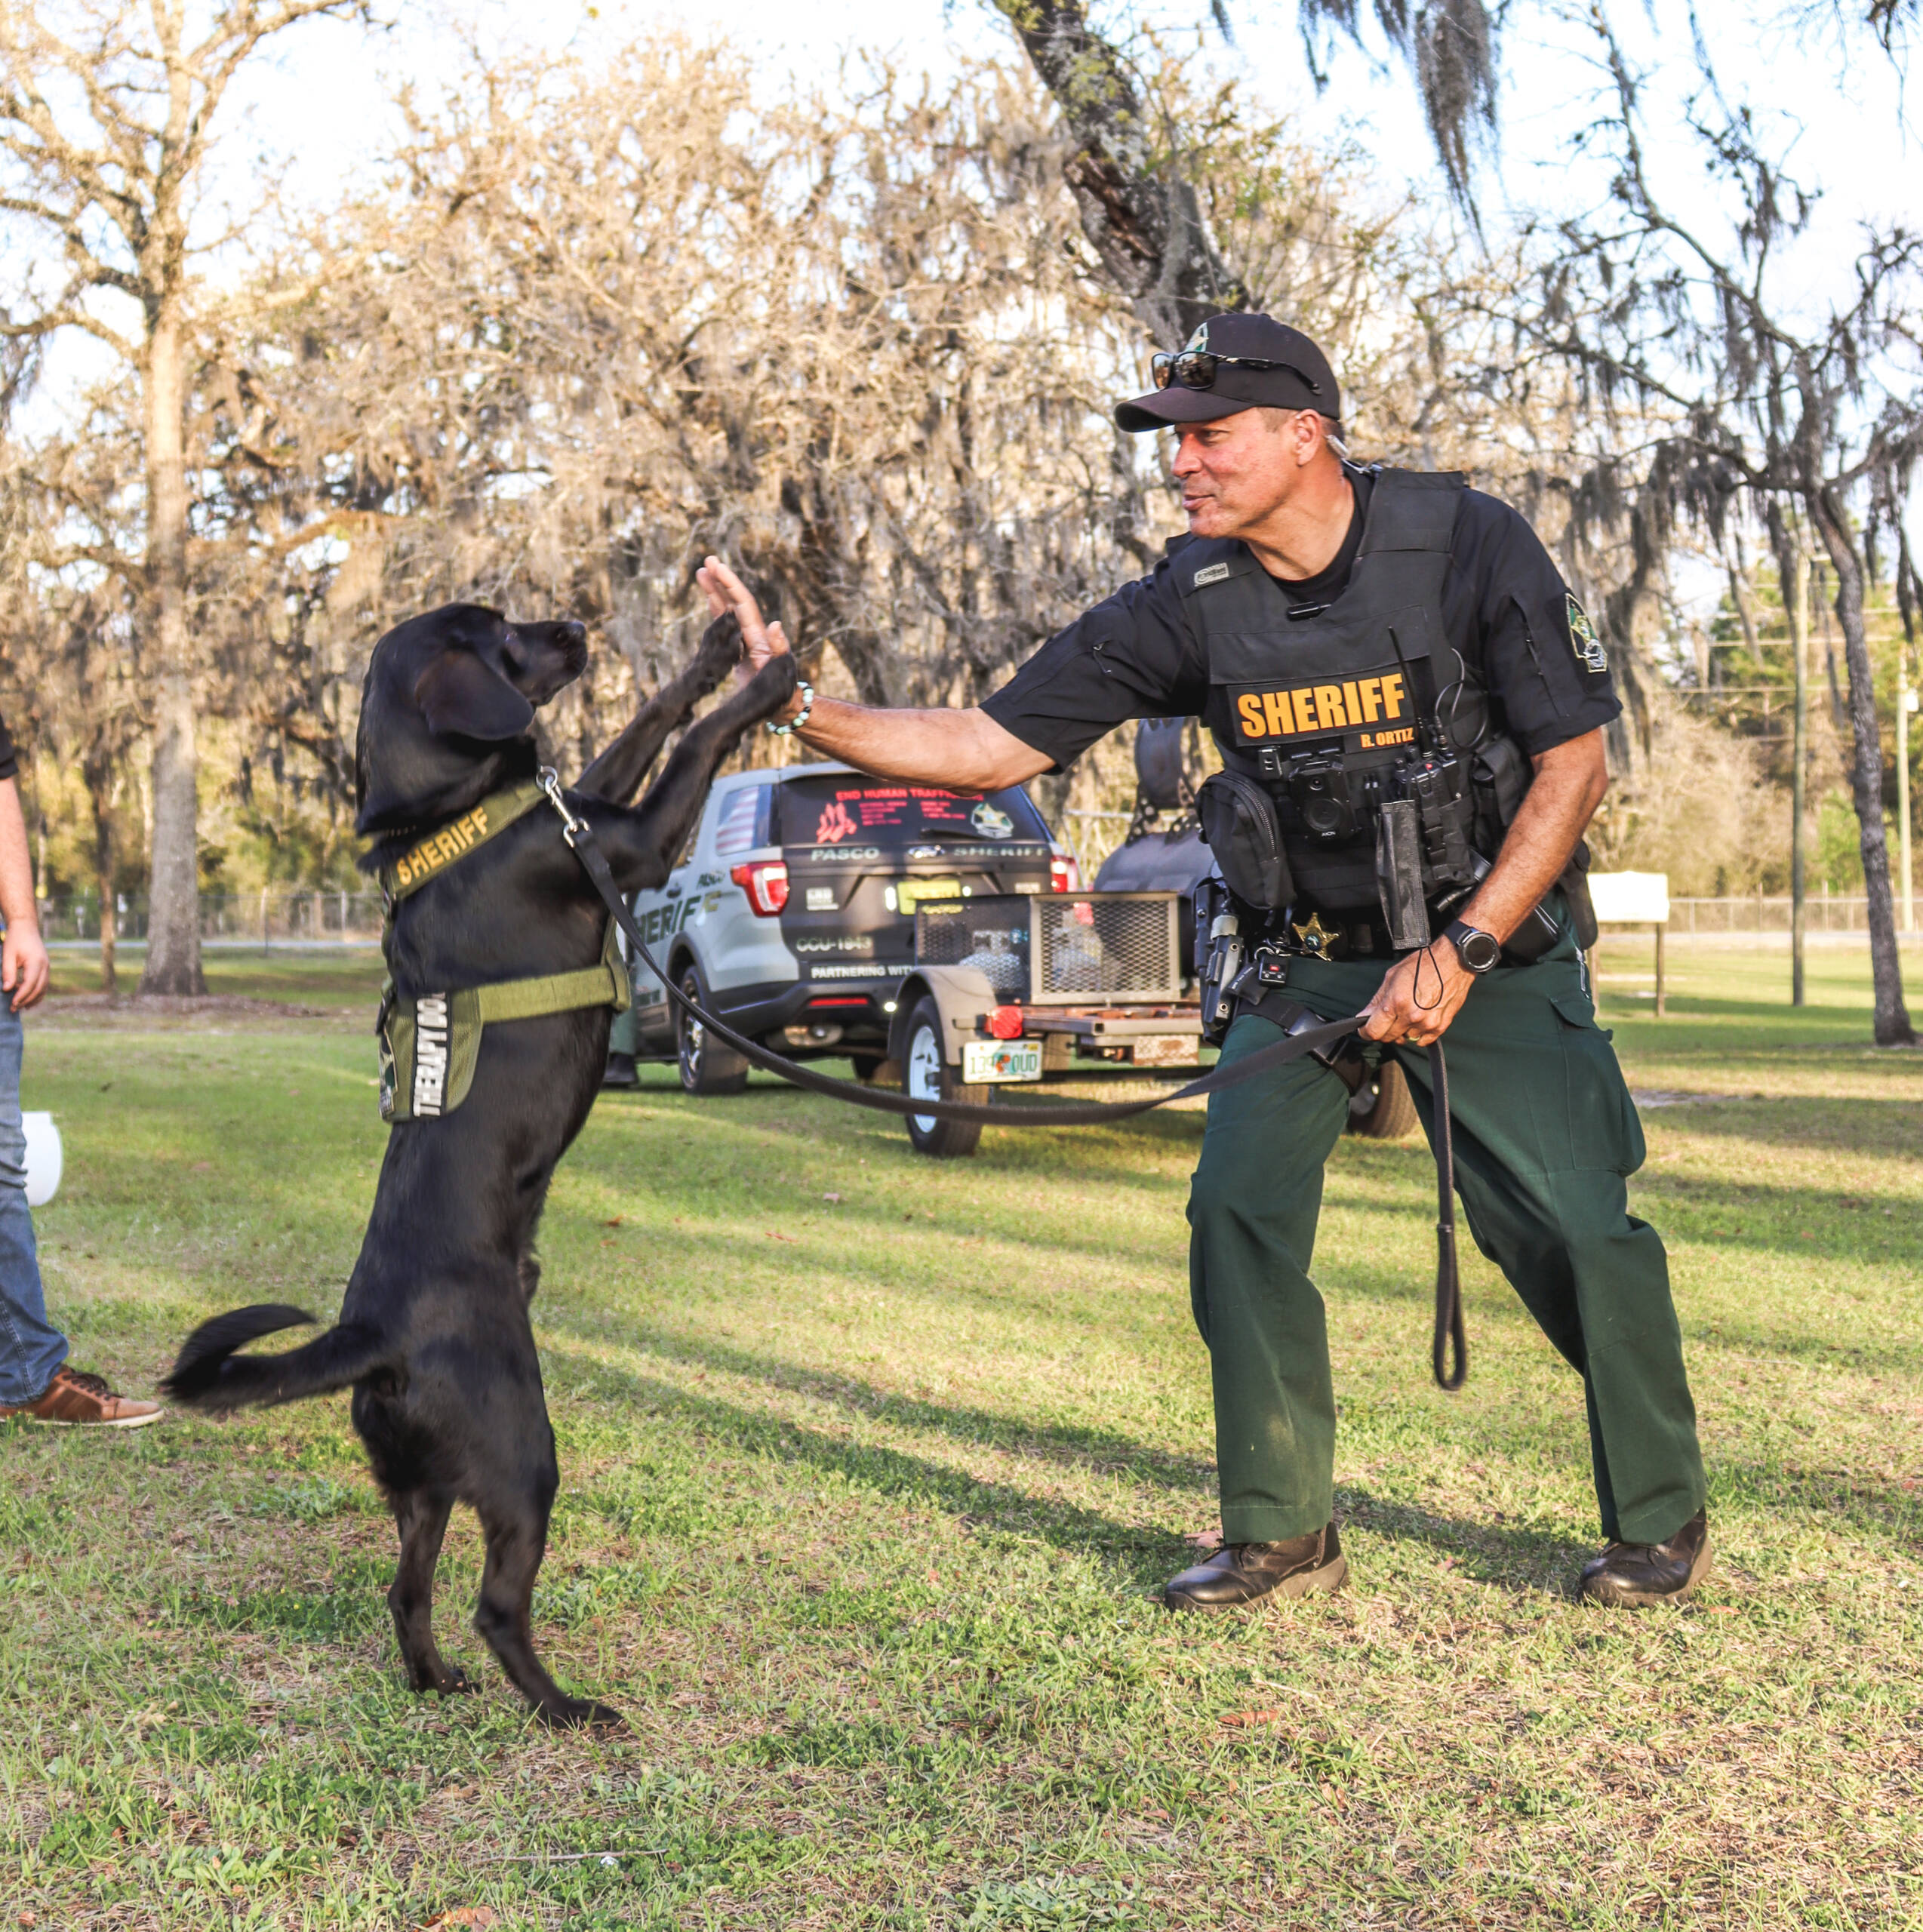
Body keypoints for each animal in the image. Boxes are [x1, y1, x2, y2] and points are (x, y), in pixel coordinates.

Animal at [167, 595, 796, 1730]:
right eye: (497, 629)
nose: (583, 623)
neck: (449, 815)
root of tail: (372, 1336)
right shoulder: (629, 840)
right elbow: (693, 743)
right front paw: (765, 681)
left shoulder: (588, 803)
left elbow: (645, 719)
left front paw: (712, 650)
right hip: (521, 1458)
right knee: (495, 1607)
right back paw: (567, 1708)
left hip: (420, 1486)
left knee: (405, 1590)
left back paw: (434, 1682)